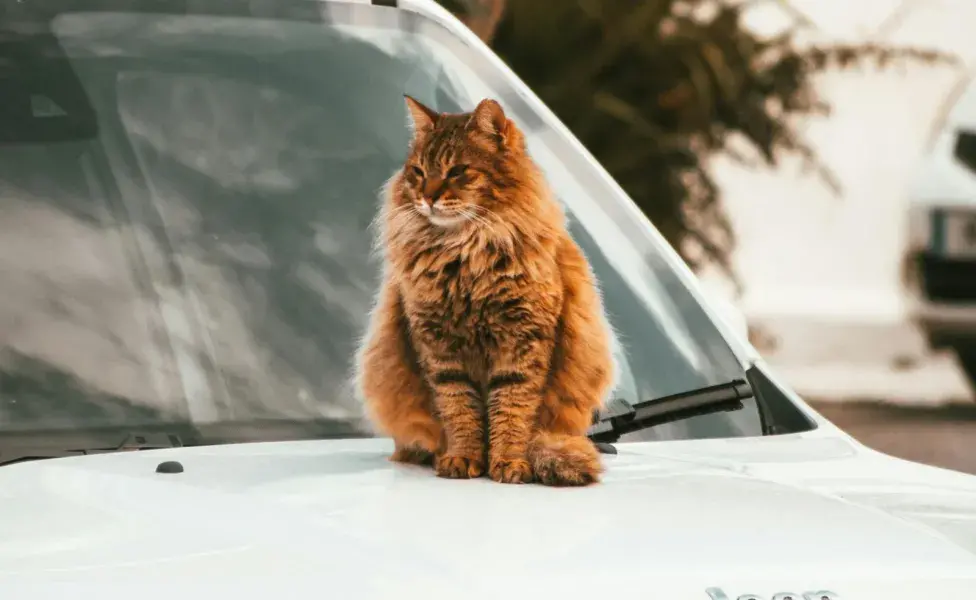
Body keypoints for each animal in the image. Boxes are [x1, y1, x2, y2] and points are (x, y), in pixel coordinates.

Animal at [352, 95, 616, 488]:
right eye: (418, 172)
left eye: (457, 171)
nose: (427, 198)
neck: (464, 255)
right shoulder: (440, 350)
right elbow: (459, 410)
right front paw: (463, 458)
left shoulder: (522, 344)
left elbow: (511, 411)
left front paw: (509, 463)